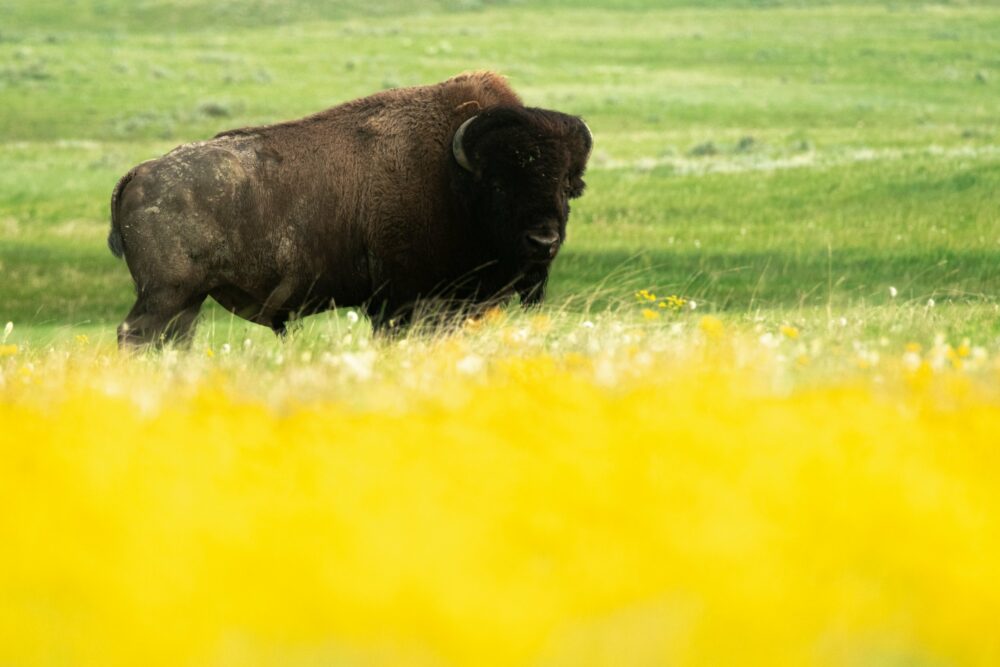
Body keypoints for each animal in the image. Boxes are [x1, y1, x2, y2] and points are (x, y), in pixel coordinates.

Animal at [107, 70, 592, 348]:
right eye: (498, 182)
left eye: (566, 185)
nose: (543, 241)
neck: (451, 175)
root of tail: (140, 173)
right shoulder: (403, 300)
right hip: (166, 294)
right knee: (137, 336)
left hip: (188, 299)